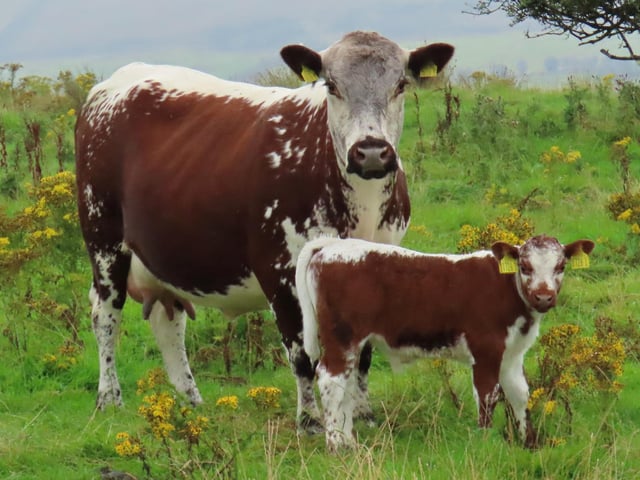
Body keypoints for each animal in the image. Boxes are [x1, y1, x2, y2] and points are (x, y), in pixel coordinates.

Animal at [74, 31, 455, 432]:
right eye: (332, 86)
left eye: (400, 85)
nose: (370, 153)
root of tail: (119, 80)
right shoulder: (279, 270)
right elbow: (302, 353)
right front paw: (310, 420)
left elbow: (362, 352)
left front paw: (364, 416)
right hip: (103, 238)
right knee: (105, 314)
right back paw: (109, 398)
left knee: (169, 320)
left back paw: (192, 401)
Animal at [295, 235, 595, 451]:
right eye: (525, 266)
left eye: (561, 267)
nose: (543, 297)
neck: (508, 287)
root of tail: (334, 245)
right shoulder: (486, 349)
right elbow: (488, 396)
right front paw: (485, 444)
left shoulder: (512, 353)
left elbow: (520, 394)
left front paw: (529, 443)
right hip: (341, 336)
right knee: (330, 380)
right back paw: (336, 445)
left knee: (344, 384)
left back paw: (348, 441)